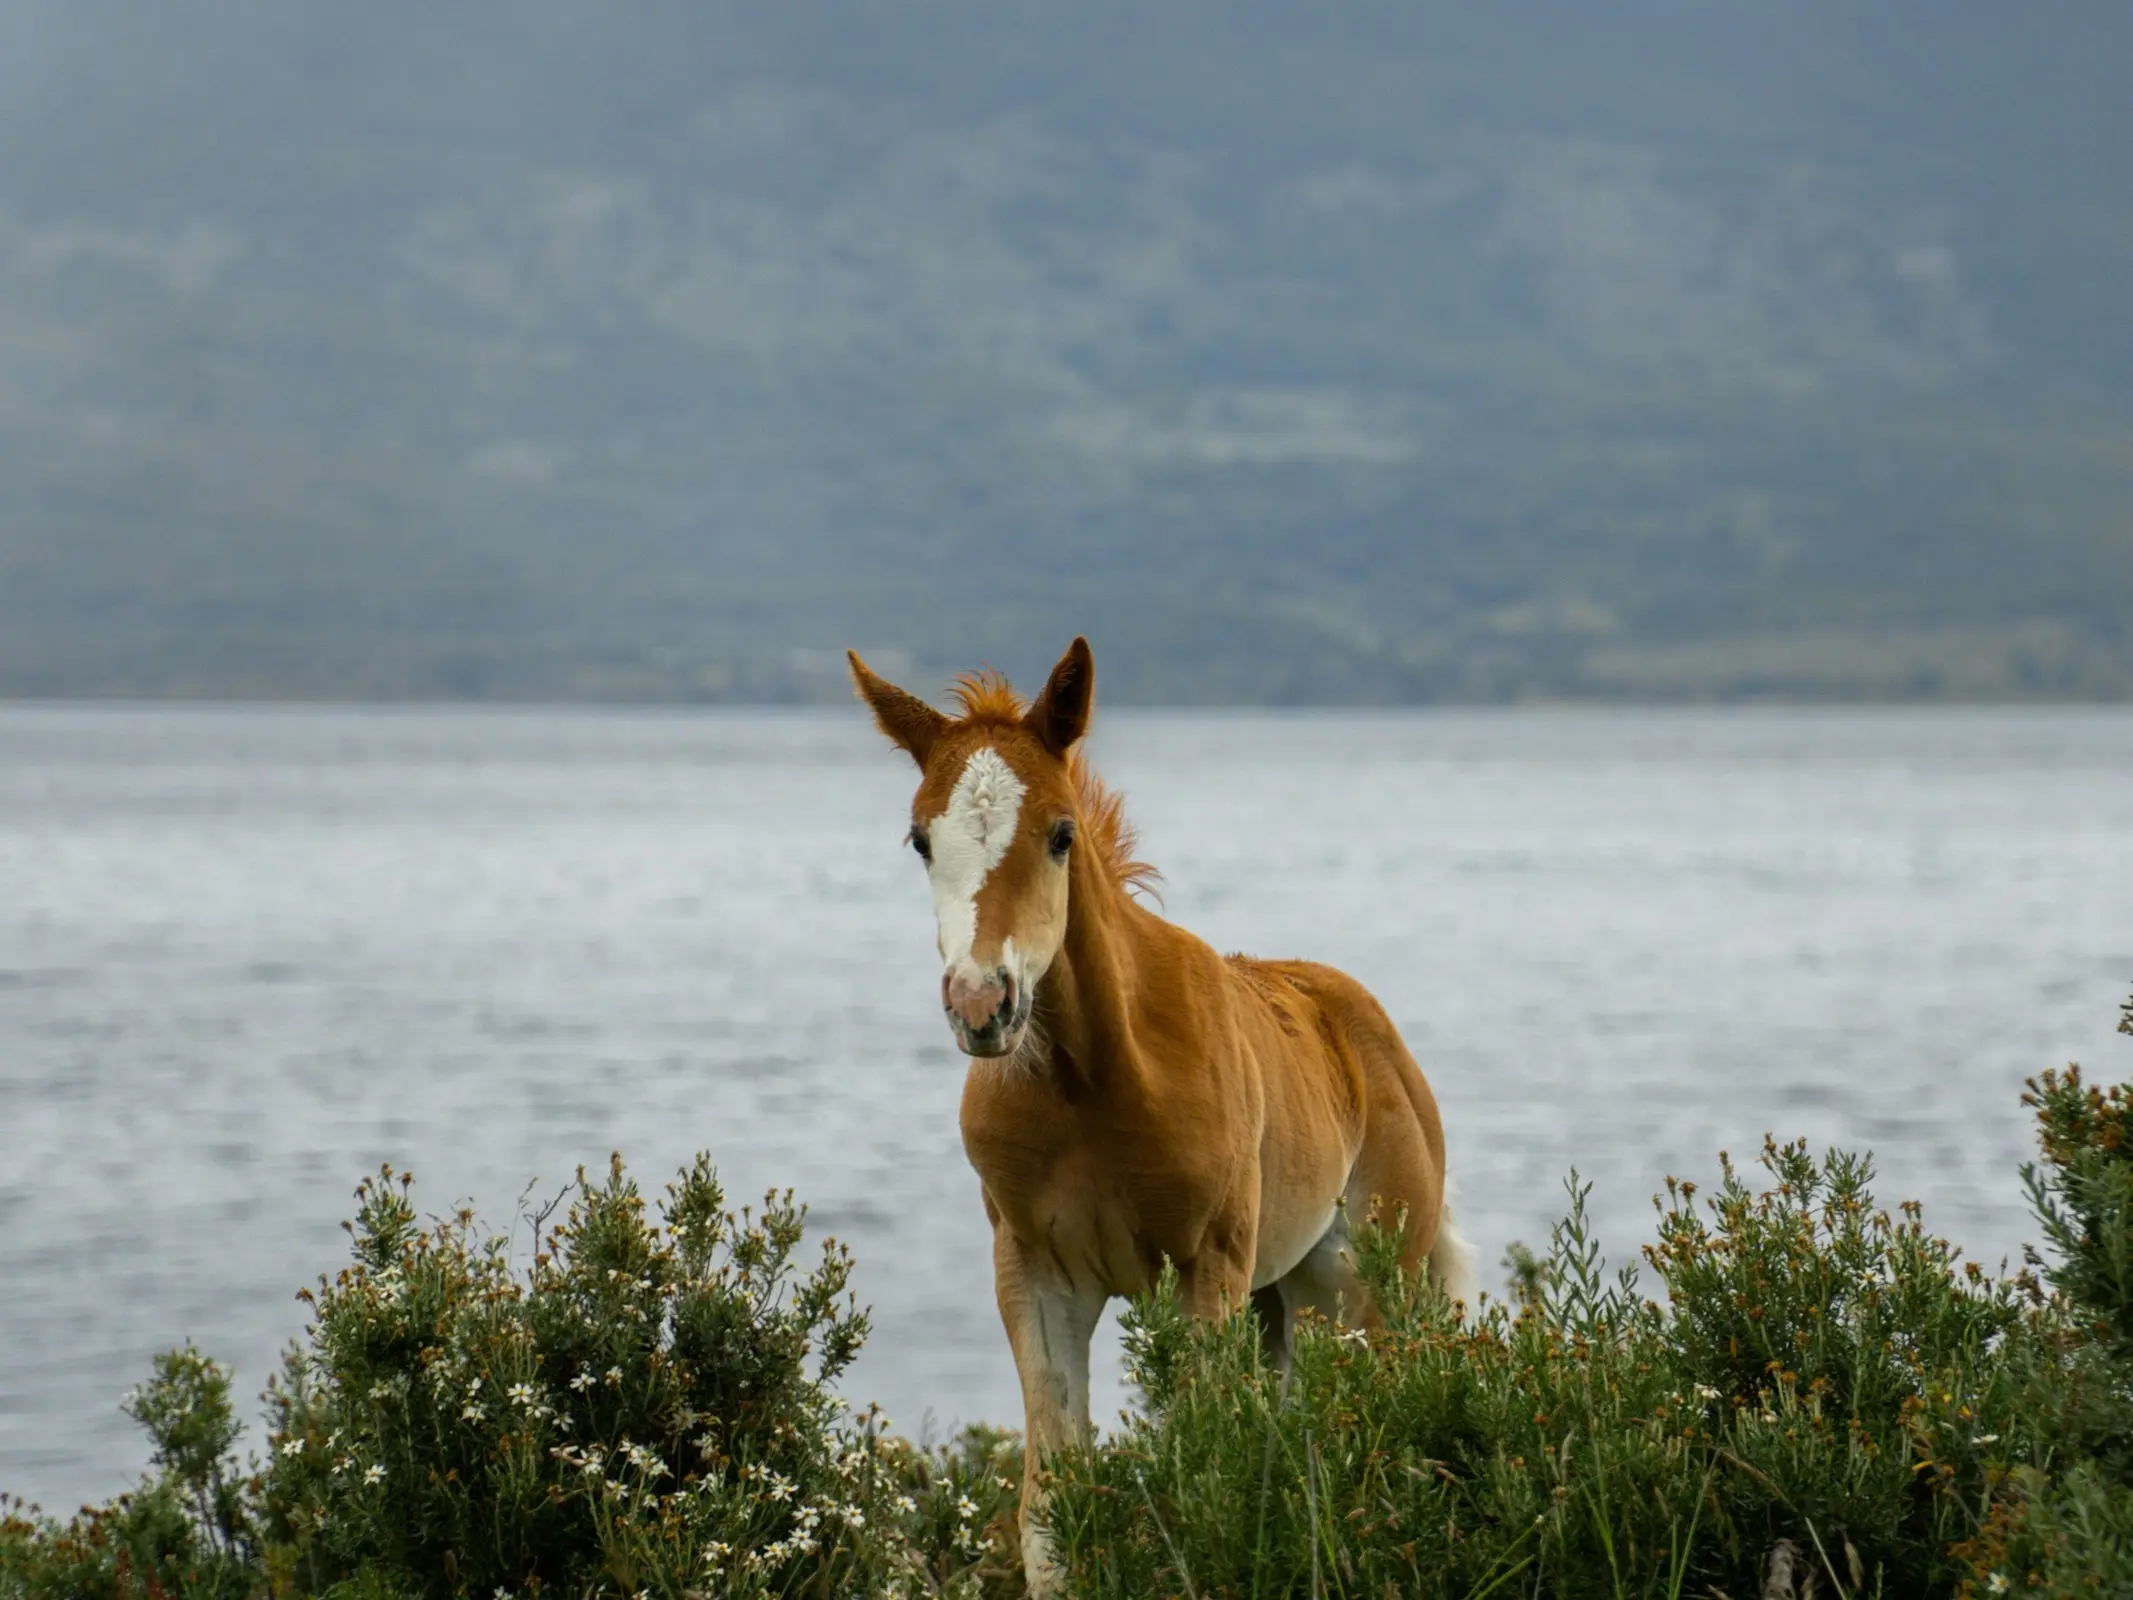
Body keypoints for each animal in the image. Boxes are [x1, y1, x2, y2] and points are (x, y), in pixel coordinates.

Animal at [844, 635, 1467, 1595]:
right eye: (920, 839)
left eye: (1061, 833)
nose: (983, 1004)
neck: (1095, 1089)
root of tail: (1377, 1036)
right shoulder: (1035, 1275)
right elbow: (1050, 1507)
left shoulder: (1204, 1268)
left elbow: (1203, 1489)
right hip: (1278, 1299)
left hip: (1361, 1285)